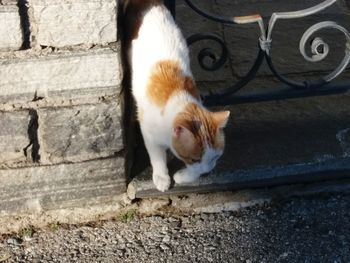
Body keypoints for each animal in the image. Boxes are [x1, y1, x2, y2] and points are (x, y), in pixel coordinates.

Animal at [119, 0, 231, 192]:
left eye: (215, 158)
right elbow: (157, 156)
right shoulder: (148, 132)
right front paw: (161, 177)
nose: (207, 171)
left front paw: (185, 177)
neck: (177, 96)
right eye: (194, 159)